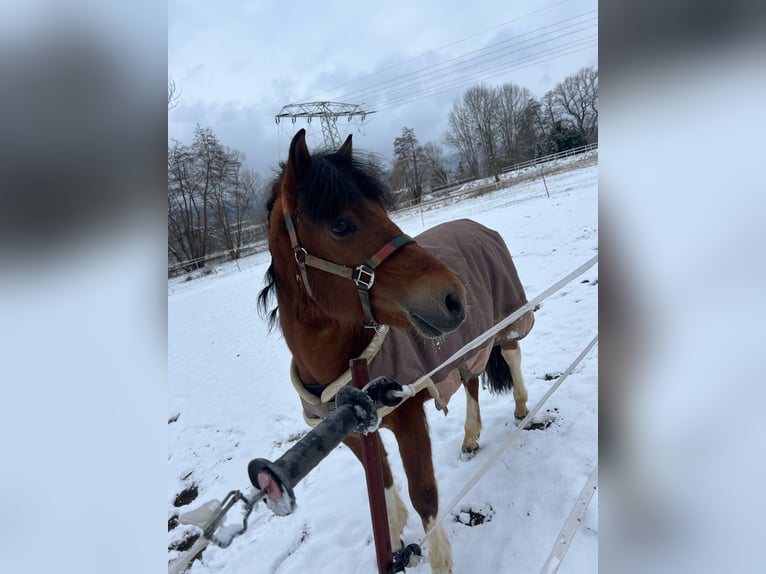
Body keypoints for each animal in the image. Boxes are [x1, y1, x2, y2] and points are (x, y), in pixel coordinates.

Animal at [258, 129, 534, 574]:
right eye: (340, 225)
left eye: (381, 209)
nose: (454, 296)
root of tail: (479, 226)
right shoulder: (351, 433)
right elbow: (384, 482)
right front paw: (395, 530)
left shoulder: (408, 416)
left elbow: (425, 495)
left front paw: (440, 560)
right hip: (467, 343)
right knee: (472, 381)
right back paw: (470, 437)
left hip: (504, 321)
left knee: (511, 356)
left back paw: (522, 407)